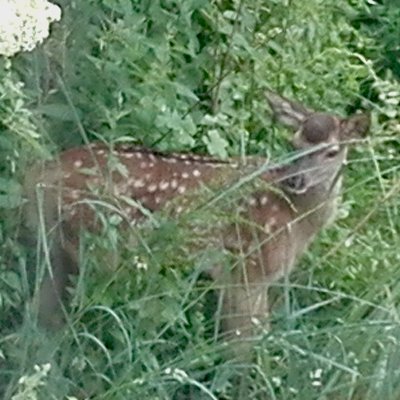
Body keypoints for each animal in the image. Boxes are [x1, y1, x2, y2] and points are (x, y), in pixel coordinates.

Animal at [24, 92, 368, 348]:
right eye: (293, 143)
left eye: (332, 152)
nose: (295, 180)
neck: (296, 217)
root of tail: (37, 173)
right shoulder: (247, 268)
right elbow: (245, 346)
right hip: (96, 244)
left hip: (59, 245)